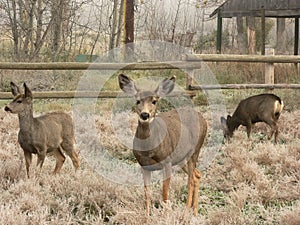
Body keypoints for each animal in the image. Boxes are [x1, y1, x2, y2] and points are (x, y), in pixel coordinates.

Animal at [118, 74, 207, 216]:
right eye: (137, 101)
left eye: (154, 101)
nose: (145, 114)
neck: (148, 149)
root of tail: (203, 118)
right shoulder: (144, 165)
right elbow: (147, 193)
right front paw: (147, 217)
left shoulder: (167, 162)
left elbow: (164, 193)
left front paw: (166, 215)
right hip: (181, 158)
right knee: (196, 175)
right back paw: (194, 211)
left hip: (195, 150)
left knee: (190, 180)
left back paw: (187, 212)